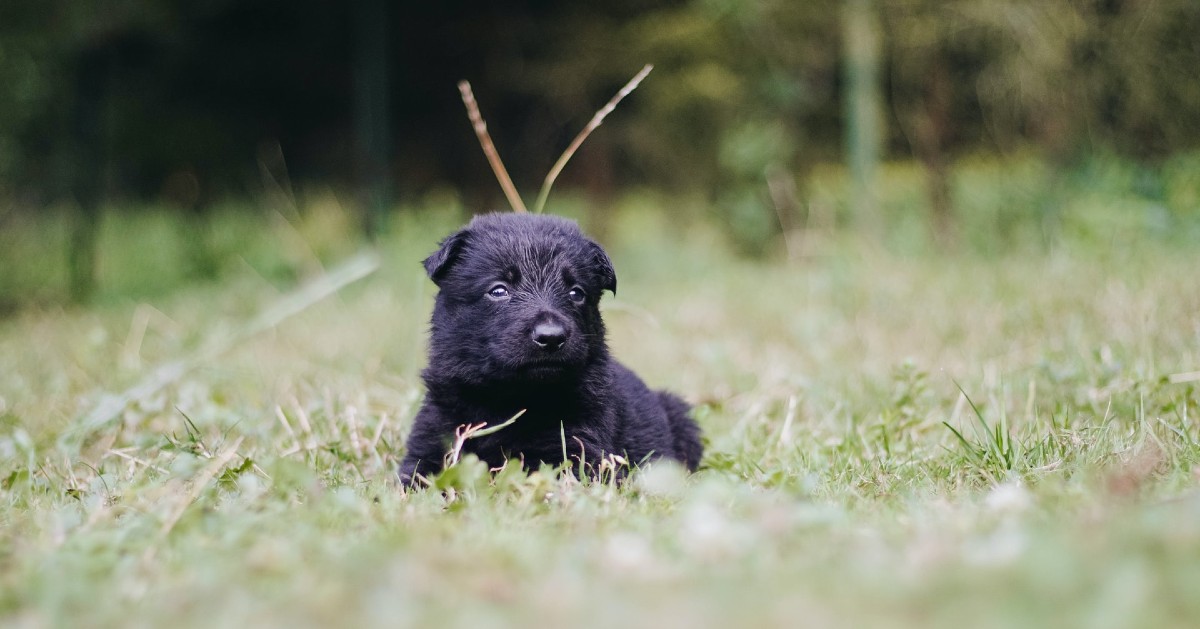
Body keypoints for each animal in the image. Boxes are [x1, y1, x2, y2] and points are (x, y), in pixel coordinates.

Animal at [400, 212, 700, 487]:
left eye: (576, 293)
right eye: (498, 290)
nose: (551, 337)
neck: (510, 401)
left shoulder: (577, 449)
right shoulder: (432, 437)